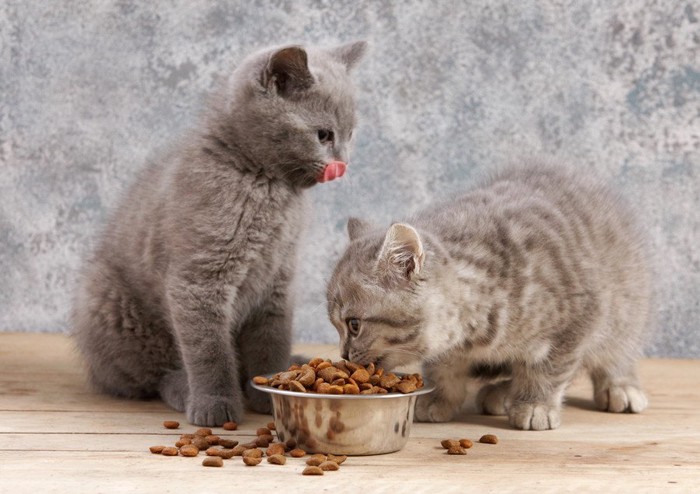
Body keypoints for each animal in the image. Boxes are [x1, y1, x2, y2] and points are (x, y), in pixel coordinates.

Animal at [70, 40, 366, 426]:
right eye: (323, 135)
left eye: (351, 134)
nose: (343, 163)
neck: (267, 186)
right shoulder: (200, 279)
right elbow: (209, 351)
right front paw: (216, 403)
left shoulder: (278, 278)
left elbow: (270, 340)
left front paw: (272, 388)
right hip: (108, 306)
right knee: (148, 377)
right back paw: (182, 390)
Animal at [328, 165, 652, 428]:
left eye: (354, 325)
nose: (343, 355)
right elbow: (443, 367)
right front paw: (440, 398)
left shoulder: (579, 319)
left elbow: (549, 368)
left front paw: (536, 404)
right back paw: (501, 393)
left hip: (625, 309)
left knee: (615, 352)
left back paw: (621, 386)